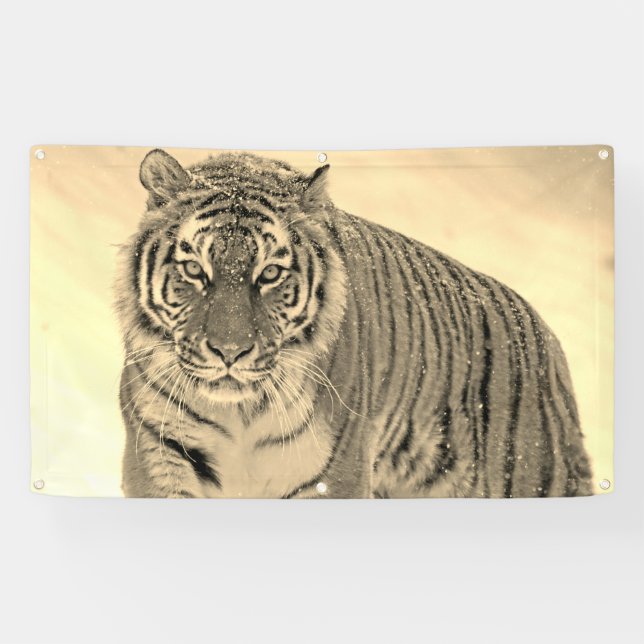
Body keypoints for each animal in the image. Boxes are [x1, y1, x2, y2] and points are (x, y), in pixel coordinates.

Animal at [115, 148, 593, 498]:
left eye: (270, 274)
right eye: (194, 269)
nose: (229, 352)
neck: (240, 416)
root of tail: (548, 340)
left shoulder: (331, 475)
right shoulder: (158, 452)